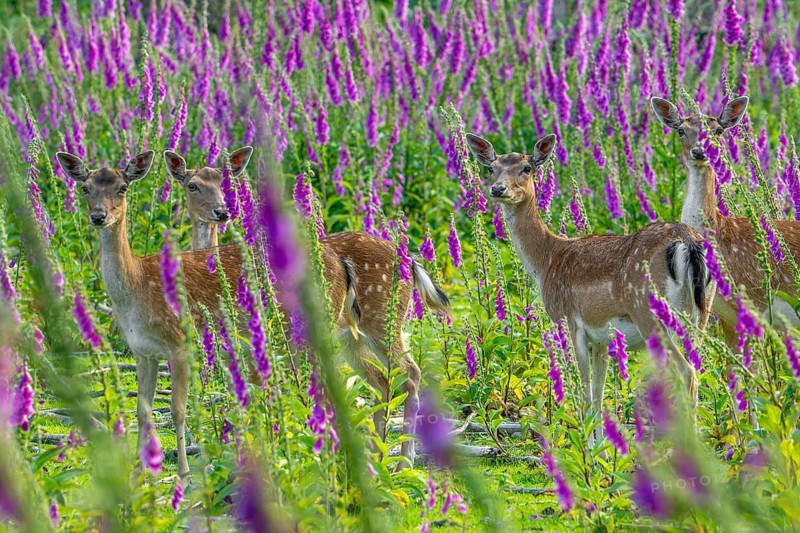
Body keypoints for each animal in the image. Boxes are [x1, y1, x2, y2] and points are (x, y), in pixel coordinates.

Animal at [163, 148, 453, 466]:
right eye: (192, 185)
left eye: (224, 183)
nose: (221, 211)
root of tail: (411, 261)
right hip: (353, 337)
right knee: (383, 383)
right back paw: (379, 454)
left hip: (380, 320)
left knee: (410, 375)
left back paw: (404, 459)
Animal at [465, 132, 713, 430]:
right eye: (492, 168)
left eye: (527, 168)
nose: (498, 189)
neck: (548, 260)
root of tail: (688, 242)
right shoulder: (602, 338)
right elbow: (598, 395)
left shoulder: (570, 322)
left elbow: (585, 393)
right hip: (701, 313)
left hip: (650, 313)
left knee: (686, 373)